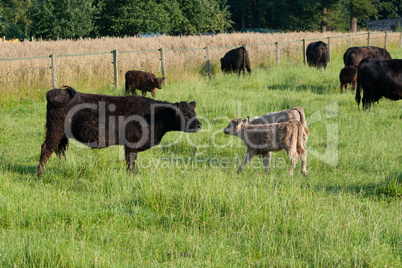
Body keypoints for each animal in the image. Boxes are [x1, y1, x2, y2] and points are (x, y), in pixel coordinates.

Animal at [36, 85, 203, 175]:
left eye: (194, 112)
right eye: (186, 114)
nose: (199, 125)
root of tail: (56, 91)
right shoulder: (131, 144)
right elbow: (131, 160)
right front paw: (132, 175)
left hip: (62, 135)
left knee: (60, 150)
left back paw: (63, 167)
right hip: (55, 130)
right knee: (46, 148)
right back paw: (40, 174)